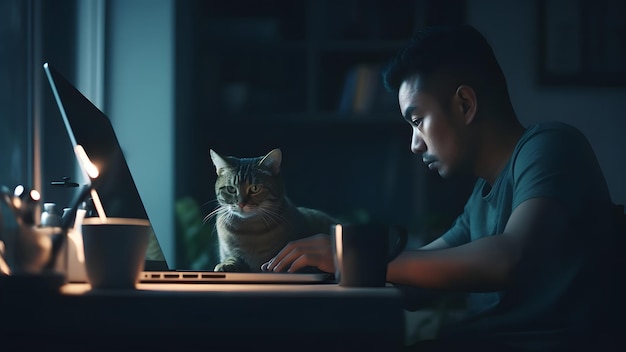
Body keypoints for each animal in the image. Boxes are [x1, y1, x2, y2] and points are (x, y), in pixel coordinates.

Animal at [207, 148, 336, 272]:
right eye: (231, 189)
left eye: (255, 188)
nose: (241, 203)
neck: (249, 231)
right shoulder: (228, 253)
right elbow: (231, 258)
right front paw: (226, 264)